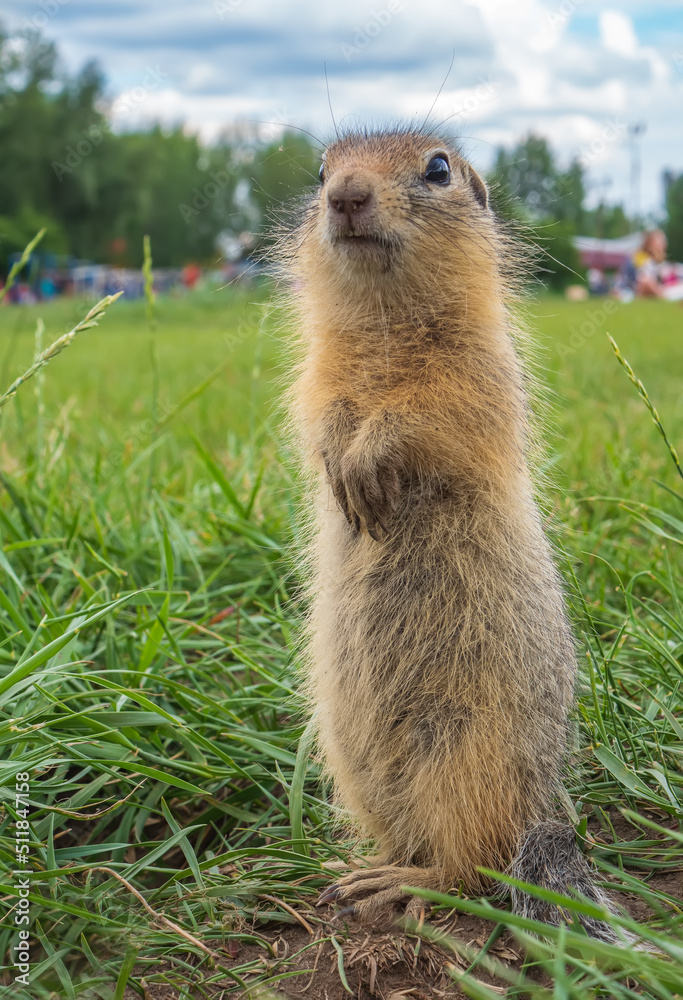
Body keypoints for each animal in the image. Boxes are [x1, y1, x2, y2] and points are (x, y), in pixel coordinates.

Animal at [278, 123, 620, 936]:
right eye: (321, 171)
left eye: (437, 169)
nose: (346, 197)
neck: (384, 320)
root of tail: (540, 813)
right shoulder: (319, 369)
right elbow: (320, 407)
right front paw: (340, 458)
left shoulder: (477, 373)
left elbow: (430, 414)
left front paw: (371, 455)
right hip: (354, 762)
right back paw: (355, 870)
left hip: (469, 761)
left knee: (470, 868)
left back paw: (399, 886)